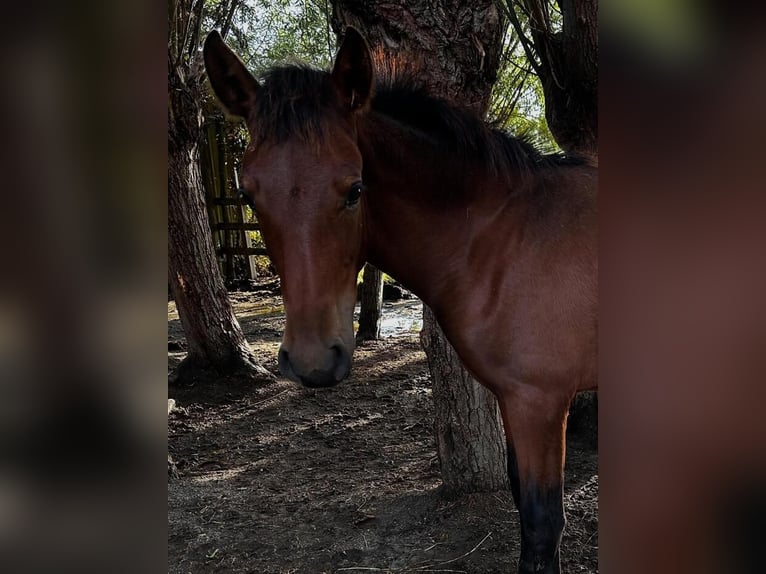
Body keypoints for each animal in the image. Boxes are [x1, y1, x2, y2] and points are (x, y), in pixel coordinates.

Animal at [203, 27, 597, 574]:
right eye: (248, 196)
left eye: (355, 189)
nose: (313, 362)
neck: (505, 233)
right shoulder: (514, 401)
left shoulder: (539, 402)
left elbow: (541, 526)